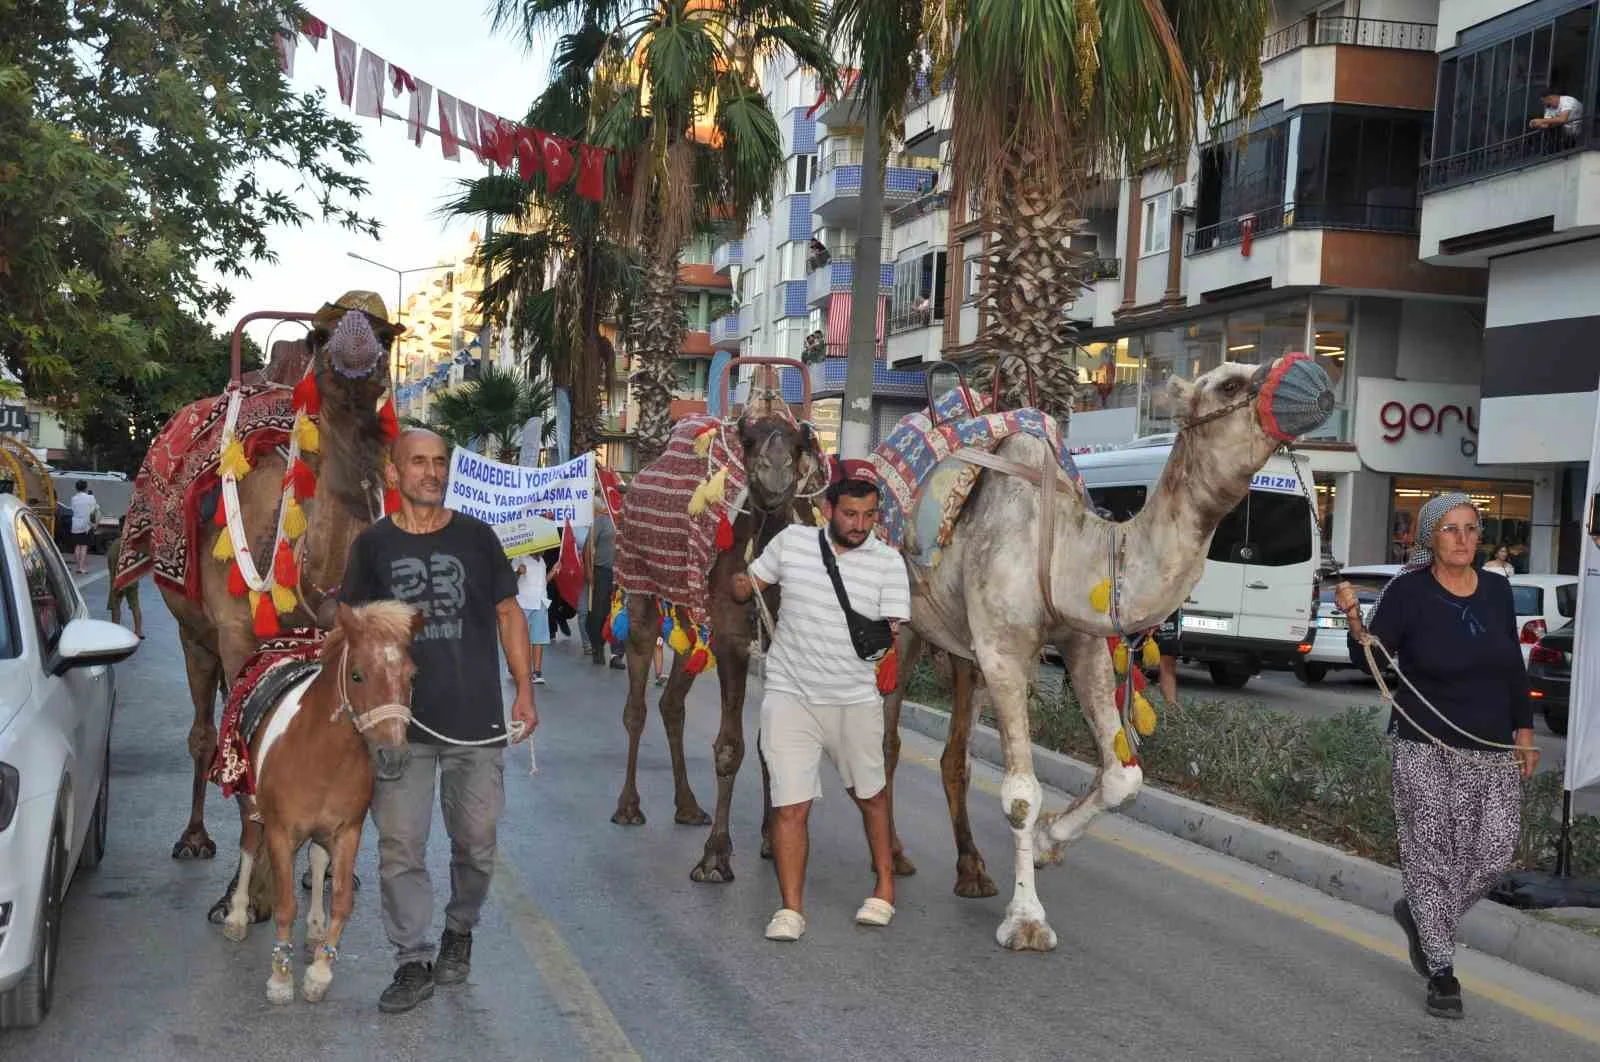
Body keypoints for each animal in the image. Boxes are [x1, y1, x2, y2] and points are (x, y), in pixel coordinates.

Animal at [219, 601, 419, 998]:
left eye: (411, 677)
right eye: (357, 676)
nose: (393, 758)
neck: (321, 755)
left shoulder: (348, 831)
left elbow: (341, 900)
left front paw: (319, 972)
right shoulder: (280, 832)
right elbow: (284, 904)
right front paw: (281, 977)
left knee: (316, 858)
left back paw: (314, 929)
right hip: (250, 806)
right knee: (248, 847)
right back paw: (236, 916)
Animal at [883, 355, 1331, 946]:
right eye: (1229, 383)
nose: (1316, 378)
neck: (1066, 548)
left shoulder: (1082, 642)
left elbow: (1124, 778)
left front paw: (1048, 842)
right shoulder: (1003, 650)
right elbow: (1021, 794)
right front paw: (1027, 921)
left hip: (959, 650)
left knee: (954, 754)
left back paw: (972, 872)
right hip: (903, 627)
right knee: (886, 740)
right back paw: (893, 856)